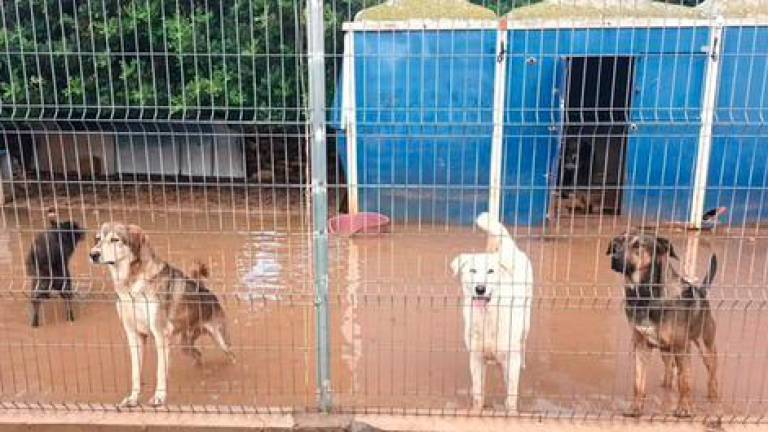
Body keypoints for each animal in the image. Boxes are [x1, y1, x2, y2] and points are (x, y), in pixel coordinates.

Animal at [450, 213, 536, 412]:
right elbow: (477, 393)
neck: (488, 316)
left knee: (523, 343)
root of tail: (510, 248)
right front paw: (477, 411)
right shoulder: (475, 357)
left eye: (490, 271)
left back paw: (523, 361)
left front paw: (511, 413)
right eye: (472, 270)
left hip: (526, 320)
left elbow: (511, 394)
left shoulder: (510, 358)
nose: (480, 289)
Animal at [608, 231, 720, 416]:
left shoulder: (682, 347)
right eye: (617, 244)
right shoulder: (641, 346)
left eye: (638, 245)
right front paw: (635, 408)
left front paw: (684, 408)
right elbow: (638, 383)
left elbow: (684, 381)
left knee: (712, 374)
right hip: (666, 350)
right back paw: (666, 385)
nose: (615, 258)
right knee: (669, 369)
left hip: (706, 346)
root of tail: (701, 291)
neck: (645, 296)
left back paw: (713, 398)